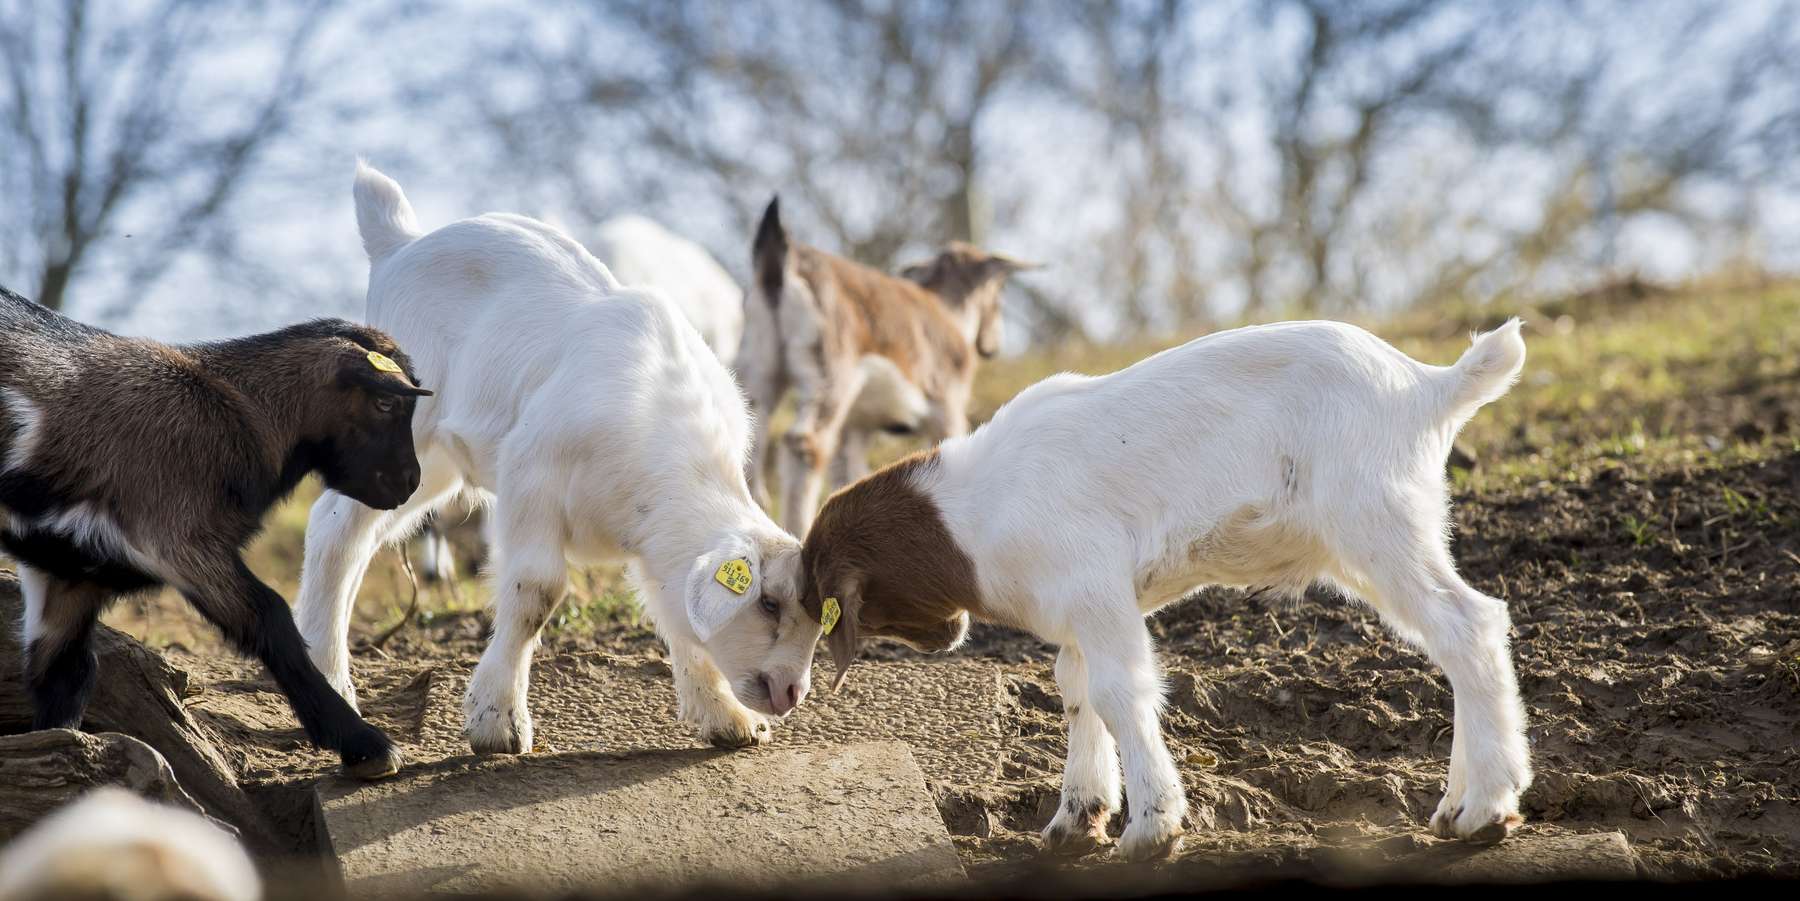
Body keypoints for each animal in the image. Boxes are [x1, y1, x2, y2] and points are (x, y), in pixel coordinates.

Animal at [0, 285, 429, 779]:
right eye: (386, 403)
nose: (409, 482)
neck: (233, 410)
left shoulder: (72, 572)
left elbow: (63, 676)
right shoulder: (177, 537)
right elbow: (269, 616)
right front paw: (366, 744)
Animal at [294, 164, 822, 755]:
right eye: (769, 603)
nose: (791, 691)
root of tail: (399, 243)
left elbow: (672, 607)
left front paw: (724, 715)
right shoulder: (531, 476)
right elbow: (536, 591)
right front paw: (497, 721)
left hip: (428, 468)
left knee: (350, 533)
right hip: (406, 429)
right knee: (336, 532)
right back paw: (334, 681)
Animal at [737, 197, 1037, 535]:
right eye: (1000, 289)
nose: (993, 345)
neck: (949, 311)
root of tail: (780, 260)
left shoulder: (858, 425)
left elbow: (849, 472)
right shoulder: (946, 405)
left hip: (758, 368)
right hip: (830, 376)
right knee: (805, 445)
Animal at [799, 319, 1532, 860]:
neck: (971, 512)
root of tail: (1426, 387)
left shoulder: (1094, 584)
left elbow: (1119, 692)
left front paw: (1152, 827)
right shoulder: (1081, 611)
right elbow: (1075, 690)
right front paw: (1078, 819)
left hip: (1376, 520)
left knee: (1468, 625)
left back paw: (1486, 809)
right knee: (1455, 637)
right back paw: (1457, 806)